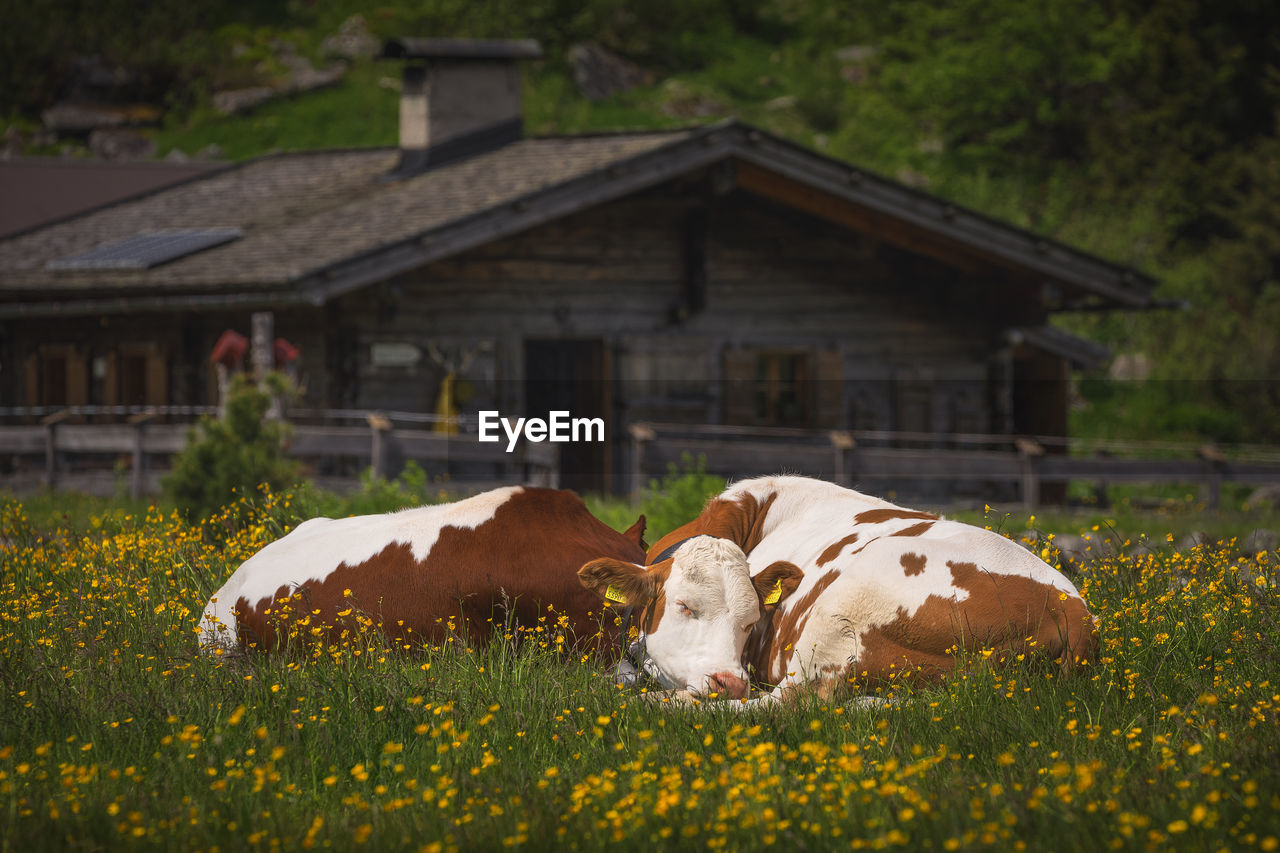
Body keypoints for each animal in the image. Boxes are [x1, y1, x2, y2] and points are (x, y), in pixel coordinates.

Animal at [581, 471, 1100, 701]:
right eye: (685, 606)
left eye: (751, 622)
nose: (729, 680)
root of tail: (1071, 608)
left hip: (842, 611)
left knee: (784, 706)